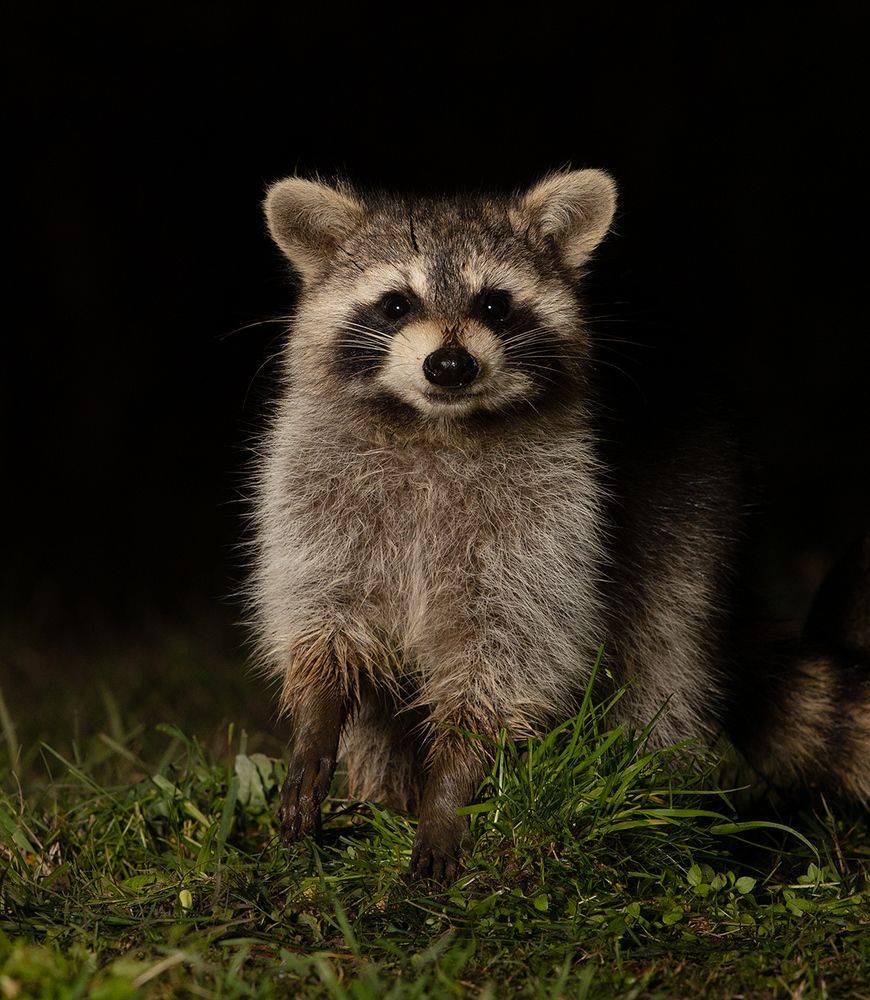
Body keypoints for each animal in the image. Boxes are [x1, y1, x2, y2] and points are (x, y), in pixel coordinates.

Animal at [251, 169, 870, 882]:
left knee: (661, 665)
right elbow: (328, 622)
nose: (450, 366)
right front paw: (317, 722)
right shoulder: (316, 488)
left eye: (495, 305)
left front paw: (451, 791)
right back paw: (383, 795)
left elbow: (508, 653)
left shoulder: (554, 518)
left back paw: (651, 793)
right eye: (396, 305)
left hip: (694, 523)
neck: (438, 426)